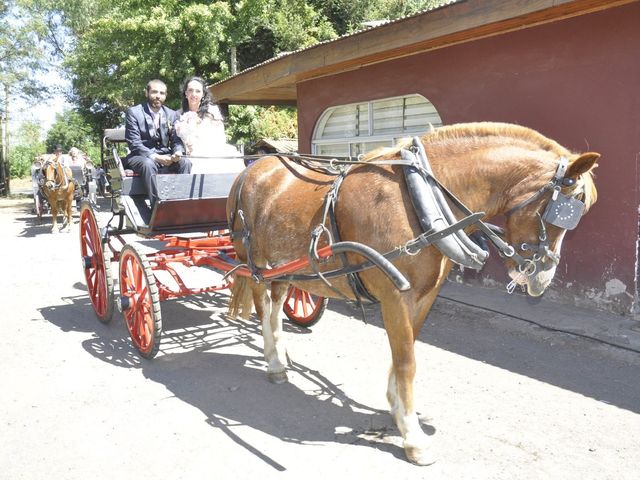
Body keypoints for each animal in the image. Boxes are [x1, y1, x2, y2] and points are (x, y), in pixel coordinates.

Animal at [224, 121, 596, 464]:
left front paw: (397, 408)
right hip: (253, 263)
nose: (543, 277)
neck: (421, 201)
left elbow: (406, 351)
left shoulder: (423, 296)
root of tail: (253, 168)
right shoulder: (395, 296)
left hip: (286, 267)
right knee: (262, 306)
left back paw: (280, 354)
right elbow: (406, 362)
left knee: (277, 304)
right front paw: (413, 435)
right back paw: (273, 362)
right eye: (567, 208)